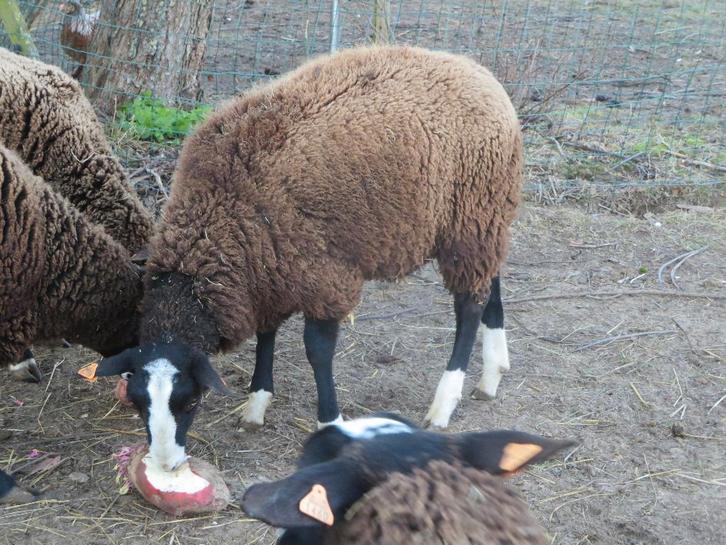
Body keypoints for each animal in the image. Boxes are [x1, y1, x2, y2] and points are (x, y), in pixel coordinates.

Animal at [94, 45, 523, 472]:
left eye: (192, 400)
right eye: (138, 403)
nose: (165, 465)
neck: (219, 218)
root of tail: (475, 70)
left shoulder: (325, 277)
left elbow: (317, 350)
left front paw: (329, 420)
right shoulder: (266, 270)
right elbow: (266, 334)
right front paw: (257, 402)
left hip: (469, 217)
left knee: (468, 306)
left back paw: (445, 401)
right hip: (484, 219)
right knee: (491, 280)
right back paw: (493, 371)